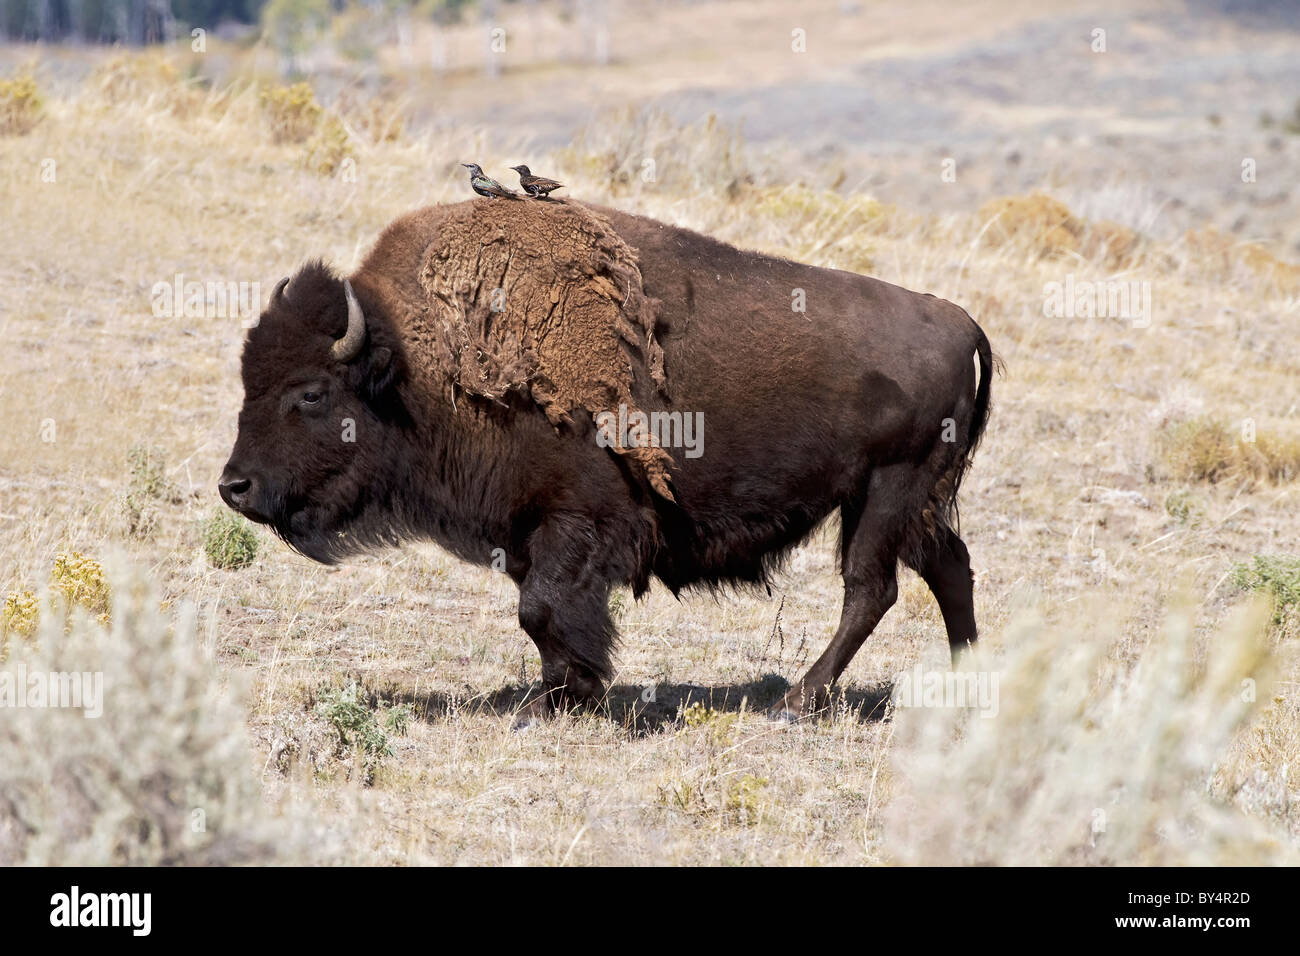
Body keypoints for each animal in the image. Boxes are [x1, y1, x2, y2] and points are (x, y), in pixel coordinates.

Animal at [220, 204, 993, 723]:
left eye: (311, 392)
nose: (235, 486)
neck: (417, 365)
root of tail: (960, 321)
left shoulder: (576, 521)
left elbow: (542, 609)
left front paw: (556, 700)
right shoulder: (532, 529)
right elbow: (543, 612)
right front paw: (564, 693)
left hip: (888, 490)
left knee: (870, 590)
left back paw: (797, 702)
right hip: (896, 500)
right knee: (947, 567)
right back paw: (964, 682)